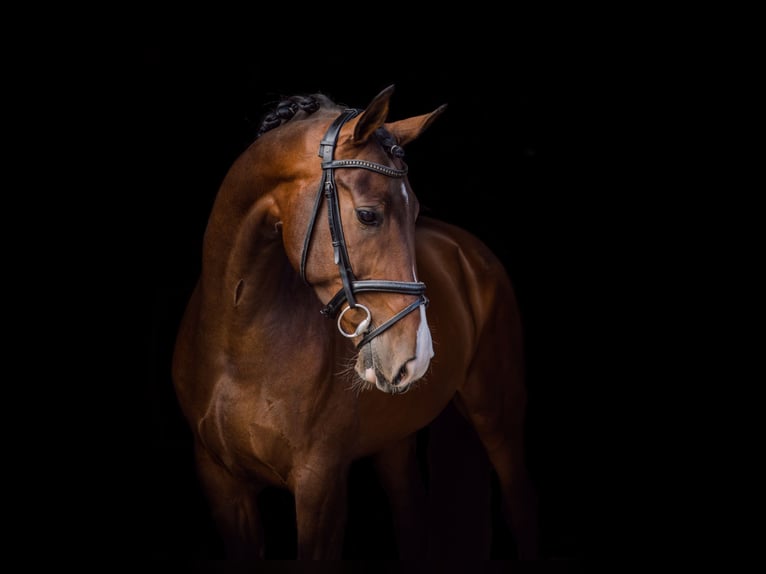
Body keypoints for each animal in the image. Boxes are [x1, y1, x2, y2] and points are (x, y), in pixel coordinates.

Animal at [171, 84, 538, 560]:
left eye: (415, 212)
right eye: (368, 215)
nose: (418, 356)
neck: (237, 345)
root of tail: (467, 249)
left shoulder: (320, 485)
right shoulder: (221, 485)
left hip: (498, 417)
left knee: (519, 508)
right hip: (395, 443)